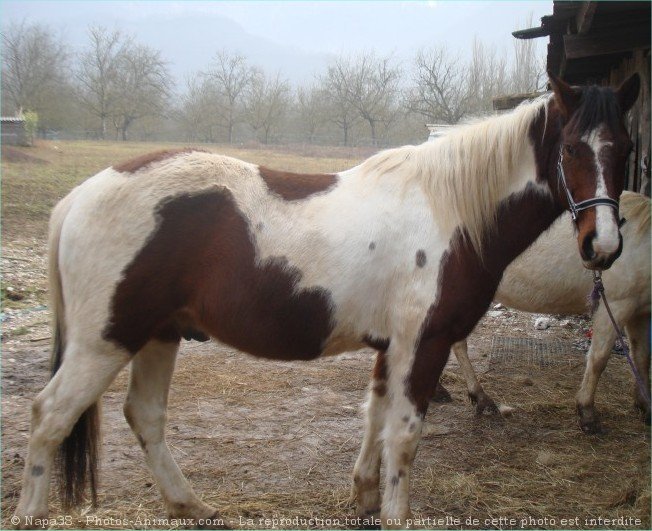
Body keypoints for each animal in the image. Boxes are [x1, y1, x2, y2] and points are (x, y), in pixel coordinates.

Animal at [12, 74, 640, 528]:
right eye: (570, 147)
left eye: (626, 148)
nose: (604, 246)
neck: (449, 209)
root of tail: (79, 196)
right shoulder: (425, 342)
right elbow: (404, 434)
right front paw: (395, 513)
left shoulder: (392, 346)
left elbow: (375, 417)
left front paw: (364, 496)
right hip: (106, 341)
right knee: (50, 417)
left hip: (158, 335)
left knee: (144, 416)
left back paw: (190, 505)